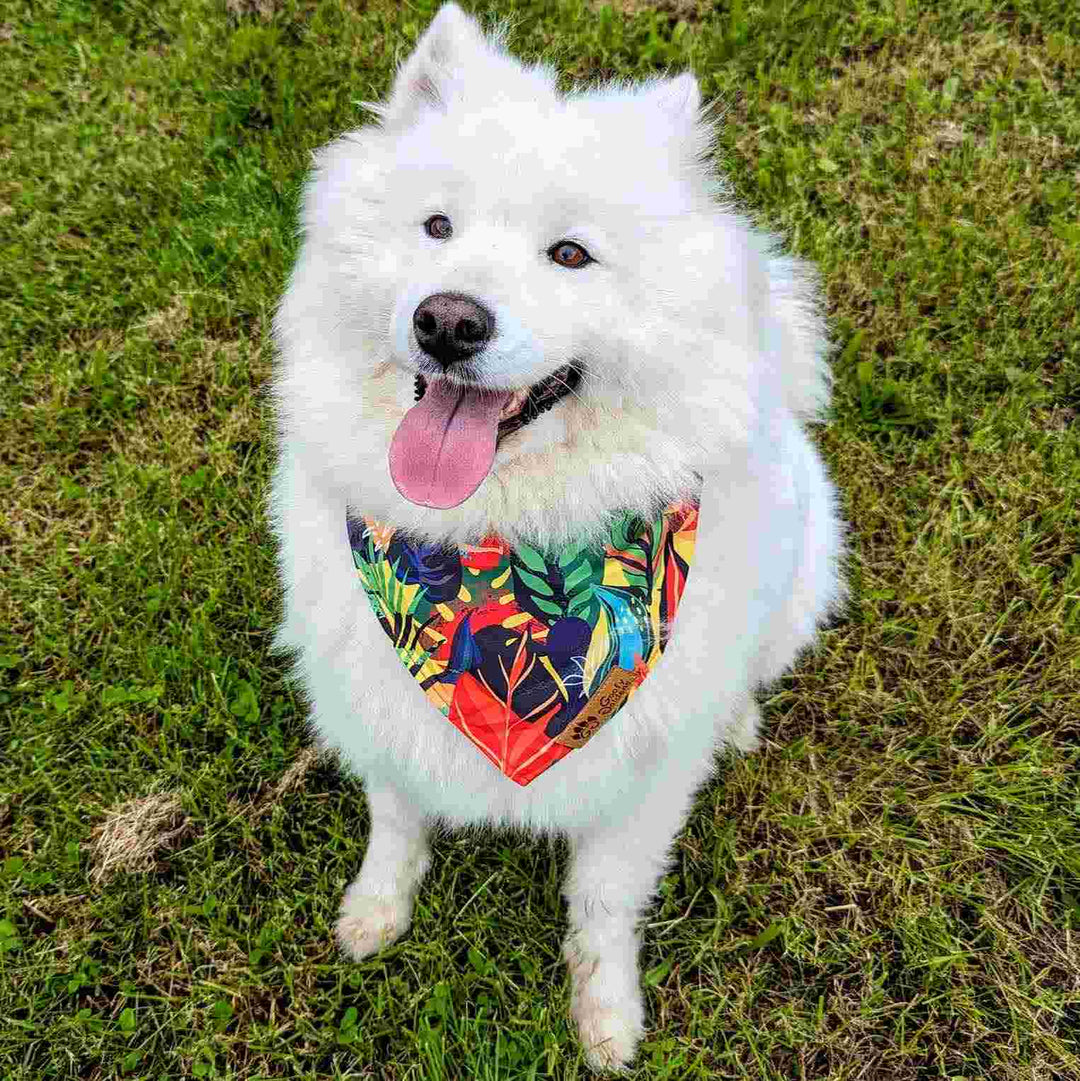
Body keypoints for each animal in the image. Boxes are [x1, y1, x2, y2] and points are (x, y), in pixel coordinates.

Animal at [270, 4, 843, 1072]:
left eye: (570, 255)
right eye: (437, 227)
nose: (448, 319)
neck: (493, 544)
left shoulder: (637, 787)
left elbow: (604, 905)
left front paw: (607, 1017)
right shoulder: (381, 708)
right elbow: (395, 823)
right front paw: (374, 913)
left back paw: (739, 720)